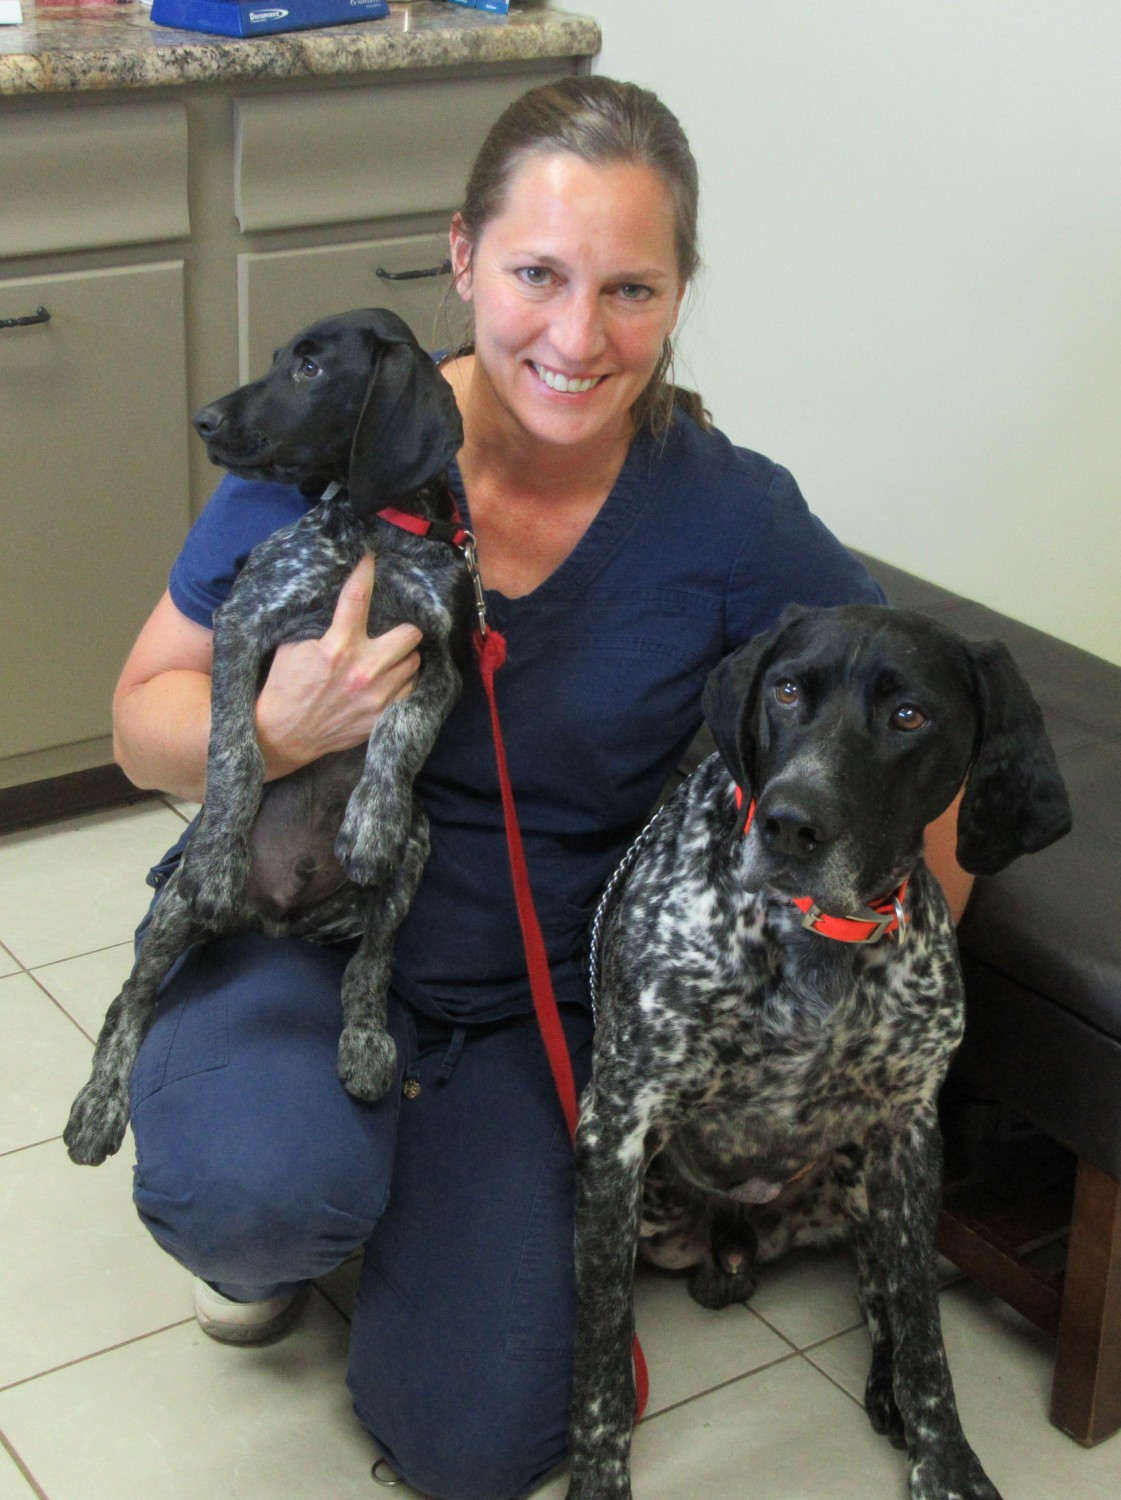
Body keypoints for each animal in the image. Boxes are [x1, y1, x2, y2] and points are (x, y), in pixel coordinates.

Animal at [65, 307, 468, 1170]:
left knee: (370, 966)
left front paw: (368, 820)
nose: (203, 419)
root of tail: (274, 919)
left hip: (417, 851)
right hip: (174, 911)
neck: (376, 530)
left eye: (310, 369)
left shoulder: (443, 661)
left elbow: (401, 731)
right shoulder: (244, 621)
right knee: (129, 1002)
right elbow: (236, 751)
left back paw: (365, 1042)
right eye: (281, 355)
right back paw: (98, 1104)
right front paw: (222, 847)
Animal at [573, 600, 1074, 1500]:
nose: (787, 823)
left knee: (881, 1294)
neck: (818, 936)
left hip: (861, 1179)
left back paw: (884, 1390)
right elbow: (601, 1347)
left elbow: (922, 1330)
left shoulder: (908, 1135)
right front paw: (598, 1476)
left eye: (908, 715)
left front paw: (946, 1460)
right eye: (785, 691)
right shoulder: (616, 1128)